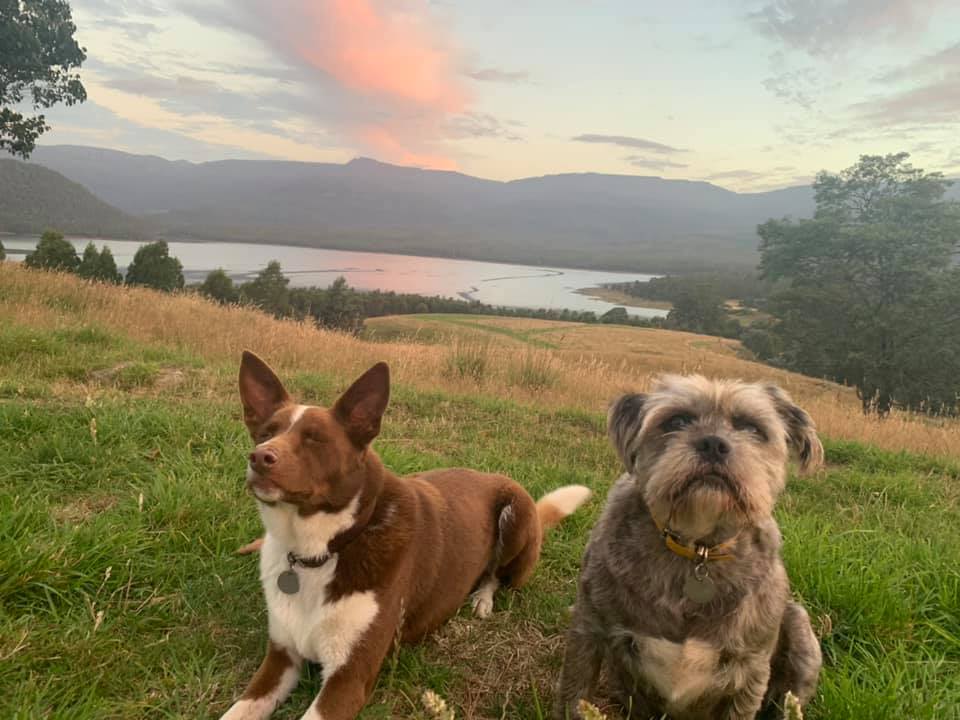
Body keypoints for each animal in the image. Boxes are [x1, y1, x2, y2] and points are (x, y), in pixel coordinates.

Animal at [220, 352, 588, 720]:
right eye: (266, 432)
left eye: (315, 438)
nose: (259, 457)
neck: (323, 549)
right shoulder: (281, 658)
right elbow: (237, 710)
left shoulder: (349, 677)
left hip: (517, 514)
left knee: (497, 575)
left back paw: (483, 598)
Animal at [556, 374, 824, 716]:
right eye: (676, 420)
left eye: (752, 428)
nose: (714, 444)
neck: (697, 550)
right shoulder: (588, 627)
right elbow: (575, 692)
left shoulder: (751, 670)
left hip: (800, 630)